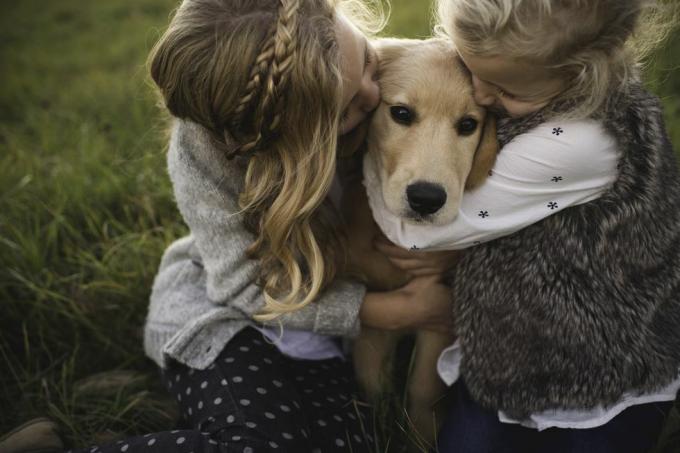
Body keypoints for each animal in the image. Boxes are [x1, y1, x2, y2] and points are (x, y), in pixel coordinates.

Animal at [348, 38, 496, 448]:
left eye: (467, 125)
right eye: (401, 113)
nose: (427, 199)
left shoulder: (437, 323)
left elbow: (423, 393)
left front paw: (417, 439)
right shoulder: (375, 322)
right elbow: (372, 384)